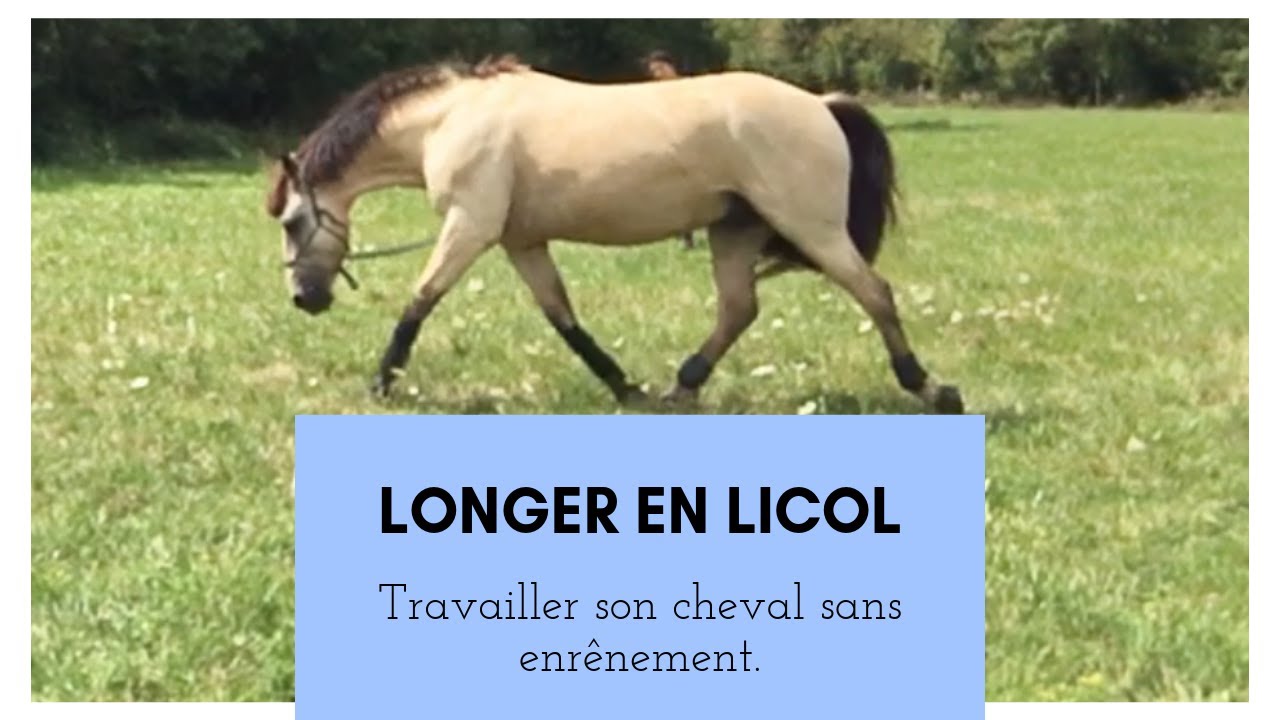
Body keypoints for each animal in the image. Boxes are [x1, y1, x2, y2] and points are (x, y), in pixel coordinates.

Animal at [264, 55, 965, 414]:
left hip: (810, 227)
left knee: (875, 293)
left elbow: (421, 300)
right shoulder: (521, 241)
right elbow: (563, 318)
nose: (304, 298)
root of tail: (820, 104)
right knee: (739, 309)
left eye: (294, 221)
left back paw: (932, 388)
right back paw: (682, 385)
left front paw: (381, 382)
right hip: (733, 232)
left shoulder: (471, 226)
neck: (451, 118)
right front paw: (623, 386)